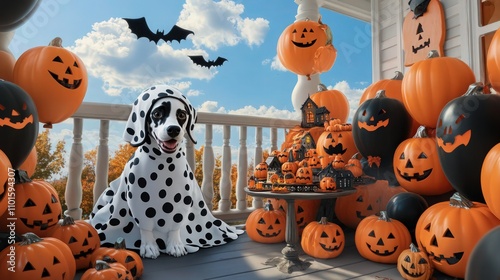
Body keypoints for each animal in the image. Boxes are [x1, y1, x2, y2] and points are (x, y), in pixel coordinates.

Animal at [91, 85, 244, 258]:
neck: (163, 160)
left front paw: (175, 244)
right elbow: (145, 229)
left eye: (182, 115)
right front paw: (149, 246)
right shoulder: (138, 203)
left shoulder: (181, 202)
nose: (173, 130)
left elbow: (174, 227)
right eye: (157, 113)